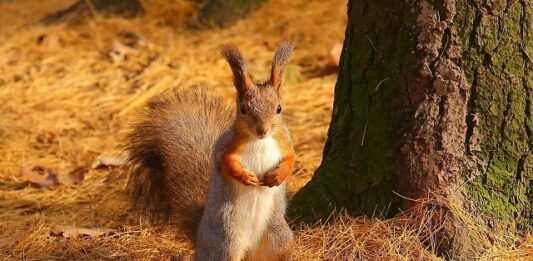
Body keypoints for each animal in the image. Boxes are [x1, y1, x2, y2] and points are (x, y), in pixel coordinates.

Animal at [127, 41, 298, 258]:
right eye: (243, 109)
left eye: (279, 108)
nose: (262, 130)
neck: (260, 141)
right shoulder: (224, 145)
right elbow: (225, 162)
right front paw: (245, 176)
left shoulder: (285, 142)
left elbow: (291, 158)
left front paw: (278, 175)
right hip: (225, 243)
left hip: (280, 239)